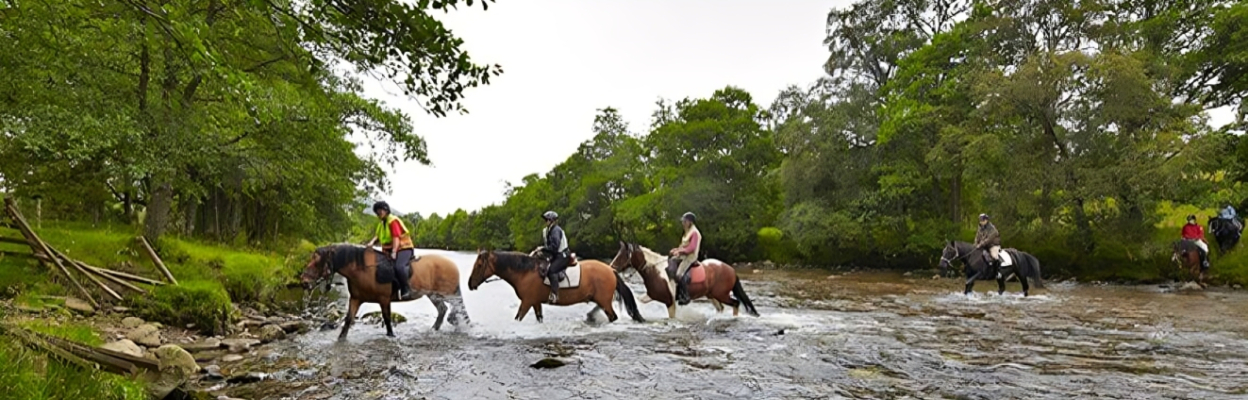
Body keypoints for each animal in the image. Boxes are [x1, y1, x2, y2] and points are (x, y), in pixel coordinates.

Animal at [300, 244, 468, 340]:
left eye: (317, 262)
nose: (304, 282)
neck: (364, 269)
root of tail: (453, 265)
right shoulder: (355, 299)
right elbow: (348, 320)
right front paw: (341, 339)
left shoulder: (384, 299)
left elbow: (387, 320)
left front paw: (391, 336)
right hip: (433, 295)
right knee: (442, 309)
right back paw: (434, 329)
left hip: (448, 294)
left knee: (455, 309)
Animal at [466, 250, 644, 324]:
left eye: (479, 265)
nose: (470, 283)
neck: (525, 272)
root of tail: (610, 270)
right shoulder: (535, 302)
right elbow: (539, 318)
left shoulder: (527, 302)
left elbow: (518, 318)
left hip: (605, 302)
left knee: (613, 317)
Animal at [609, 241, 758, 318]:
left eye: (622, 255)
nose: (611, 268)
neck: (656, 271)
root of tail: (731, 269)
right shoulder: (652, 295)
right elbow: (639, 299)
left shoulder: (669, 302)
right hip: (712, 295)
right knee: (721, 308)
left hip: (721, 294)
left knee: (735, 303)